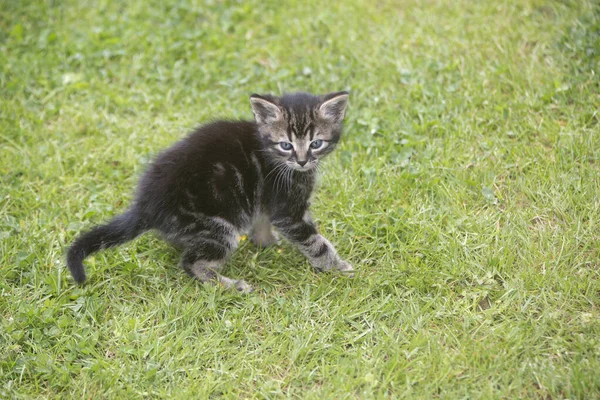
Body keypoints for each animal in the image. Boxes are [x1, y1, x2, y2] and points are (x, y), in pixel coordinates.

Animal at [68, 90, 354, 292]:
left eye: (316, 143)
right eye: (286, 145)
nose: (303, 161)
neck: (272, 153)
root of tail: (146, 205)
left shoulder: (264, 200)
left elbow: (262, 221)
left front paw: (267, 242)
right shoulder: (288, 209)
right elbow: (315, 242)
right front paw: (336, 266)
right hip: (217, 226)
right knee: (191, 262)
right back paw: (229, 285)